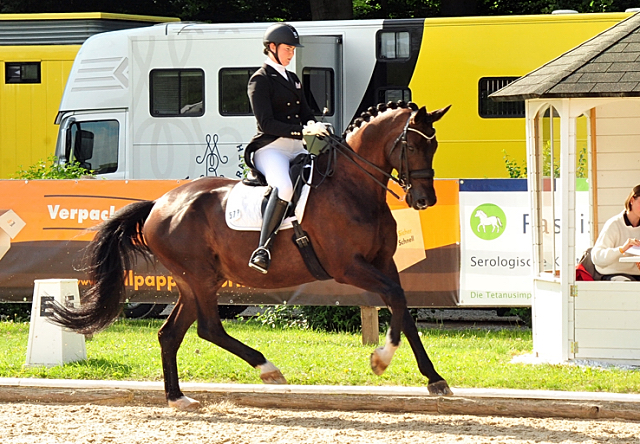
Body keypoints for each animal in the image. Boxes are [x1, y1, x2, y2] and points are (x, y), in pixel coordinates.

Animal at [52, 100, 452, 410]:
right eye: (412, 147)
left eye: (434, 148)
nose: (424, 200)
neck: (353, 188)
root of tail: (159, 204)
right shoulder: (349, 267)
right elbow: (395, 299)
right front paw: (381, 360)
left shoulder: (384, 264)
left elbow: (403, 307)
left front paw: (434, 378)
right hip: (199, 277)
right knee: (209, 328)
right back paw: (267, 369)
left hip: (195, 281)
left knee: (170, 334)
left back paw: (178, 397)